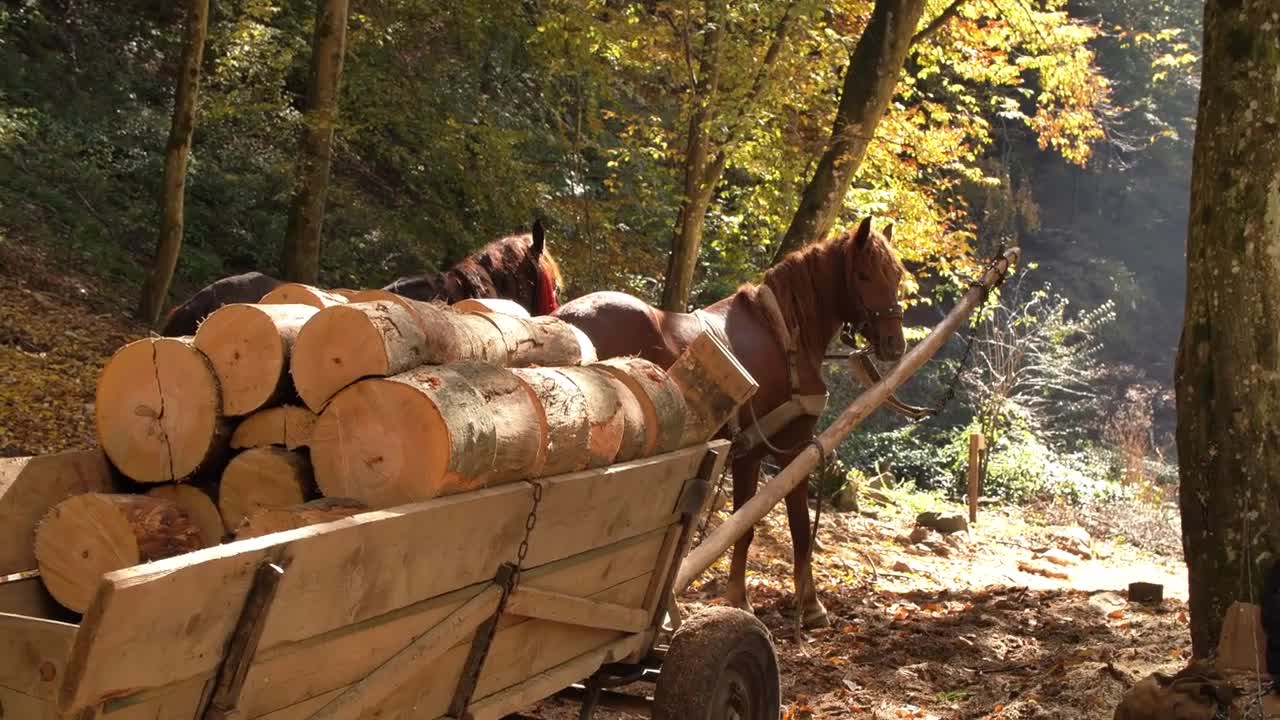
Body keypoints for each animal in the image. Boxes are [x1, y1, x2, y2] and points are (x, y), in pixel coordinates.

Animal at [555, 215, 906, 625]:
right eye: (864, 274)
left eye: (896, 275)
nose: (895, 344)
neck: (784, 335)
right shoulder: (785, 450)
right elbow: (787, 529)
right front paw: (798, 604)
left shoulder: (757, 453)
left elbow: (757, 526)